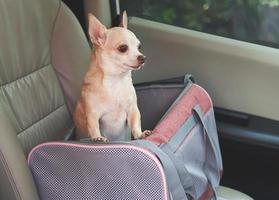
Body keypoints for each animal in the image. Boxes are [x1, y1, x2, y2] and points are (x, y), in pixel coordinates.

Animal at [73, 11, 152, 141]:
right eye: (123, 48)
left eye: (139, 47)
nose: (143, 58)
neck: (116, 80)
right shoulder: (92, 115)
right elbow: (93, 127)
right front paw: (97, 138)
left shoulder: (133, 110)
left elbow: (135, 124)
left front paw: (140, 134)